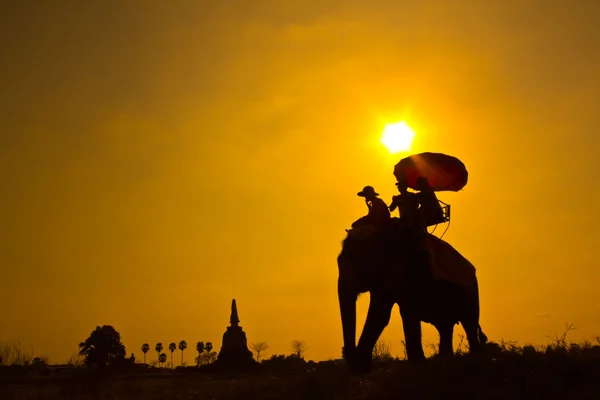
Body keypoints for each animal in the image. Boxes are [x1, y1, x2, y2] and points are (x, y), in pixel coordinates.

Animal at [338, 225, 488, 372]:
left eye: (359, 260)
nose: (352, 365)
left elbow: (381, 314)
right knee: (445, 326)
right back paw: (446, 361)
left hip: (472, 293)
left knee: (469, 323)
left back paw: (473, 359)